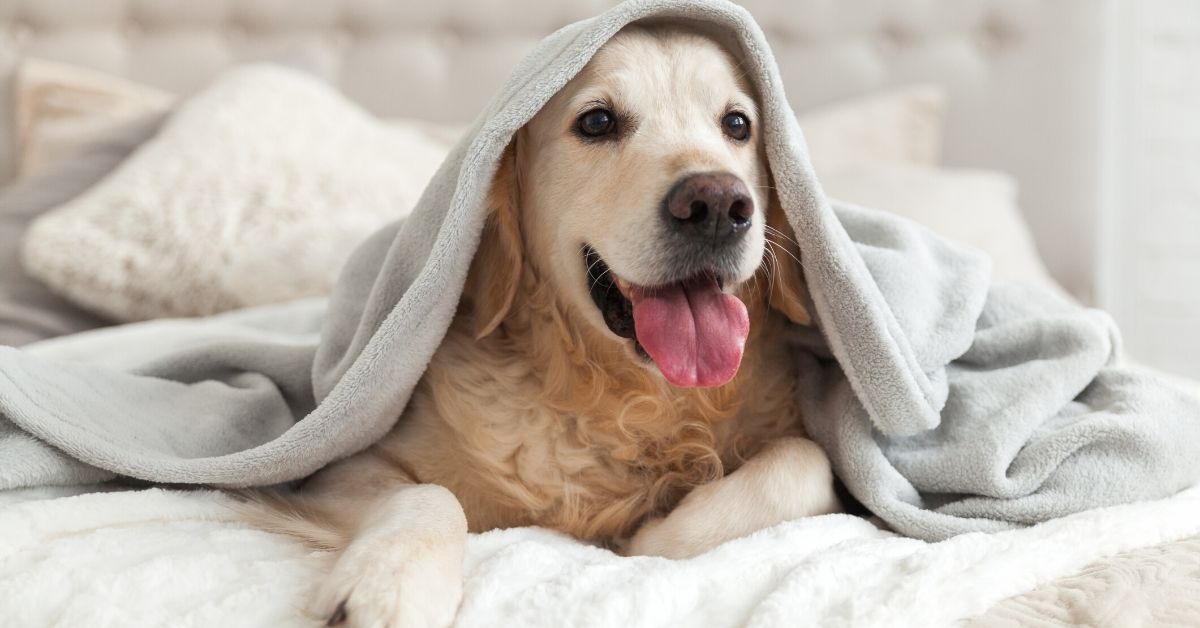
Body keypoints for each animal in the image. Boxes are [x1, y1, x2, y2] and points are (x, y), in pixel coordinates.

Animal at [248, 24, 840, 628]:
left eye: (738, 125)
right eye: (597, 122)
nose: (718, 205)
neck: (626, 399)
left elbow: (807, 460)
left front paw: (660, 535)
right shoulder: (334, 471)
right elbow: (429, 494)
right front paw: (388, 584)